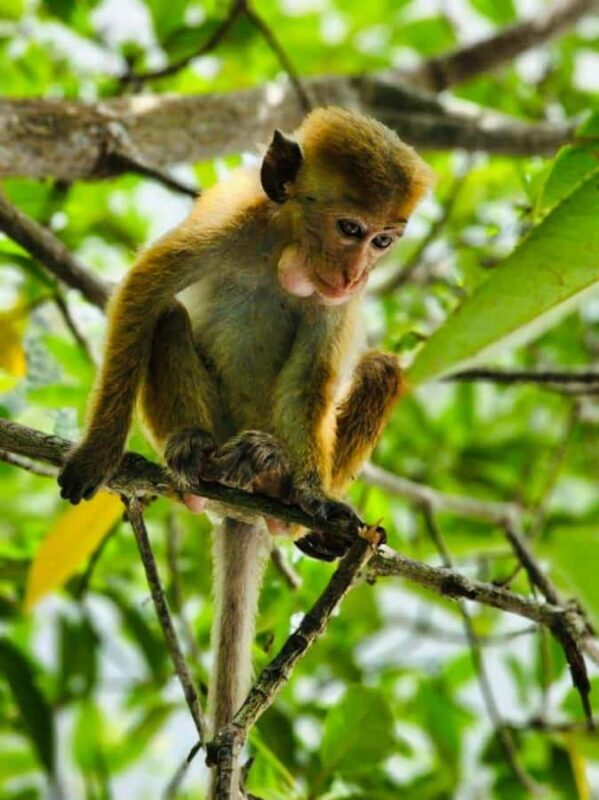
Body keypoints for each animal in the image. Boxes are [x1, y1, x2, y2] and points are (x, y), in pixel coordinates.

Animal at [57, 107, 433, 796]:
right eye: (350, 228)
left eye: (384, 242)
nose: (356, 276)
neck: (283, 248)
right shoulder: (229, 227)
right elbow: (144, 293)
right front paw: (98, 450)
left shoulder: (331, 307)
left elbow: (312, 379)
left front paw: (313, 497)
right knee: (169, 316)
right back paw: (196, 455)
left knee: (383, 369)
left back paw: (275, 482)